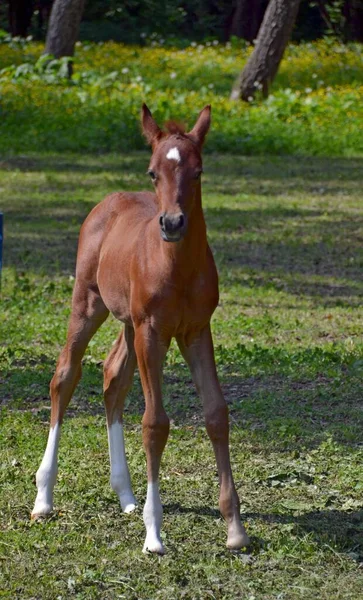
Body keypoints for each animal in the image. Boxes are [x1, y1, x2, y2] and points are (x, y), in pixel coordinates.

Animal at [32, 103, 250, 552]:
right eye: (153, 172)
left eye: (198, 171)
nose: (173, 223)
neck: (177, 267)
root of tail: (109, 201)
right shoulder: (153, 332)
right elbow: (155, 423)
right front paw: (154, 533)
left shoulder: (195, 331)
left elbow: (216, 412)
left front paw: (235, 527)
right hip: (89, 304)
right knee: (65, 376)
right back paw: (44, 497)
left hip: (129, 325)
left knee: (113, 378)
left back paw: (126, 495)